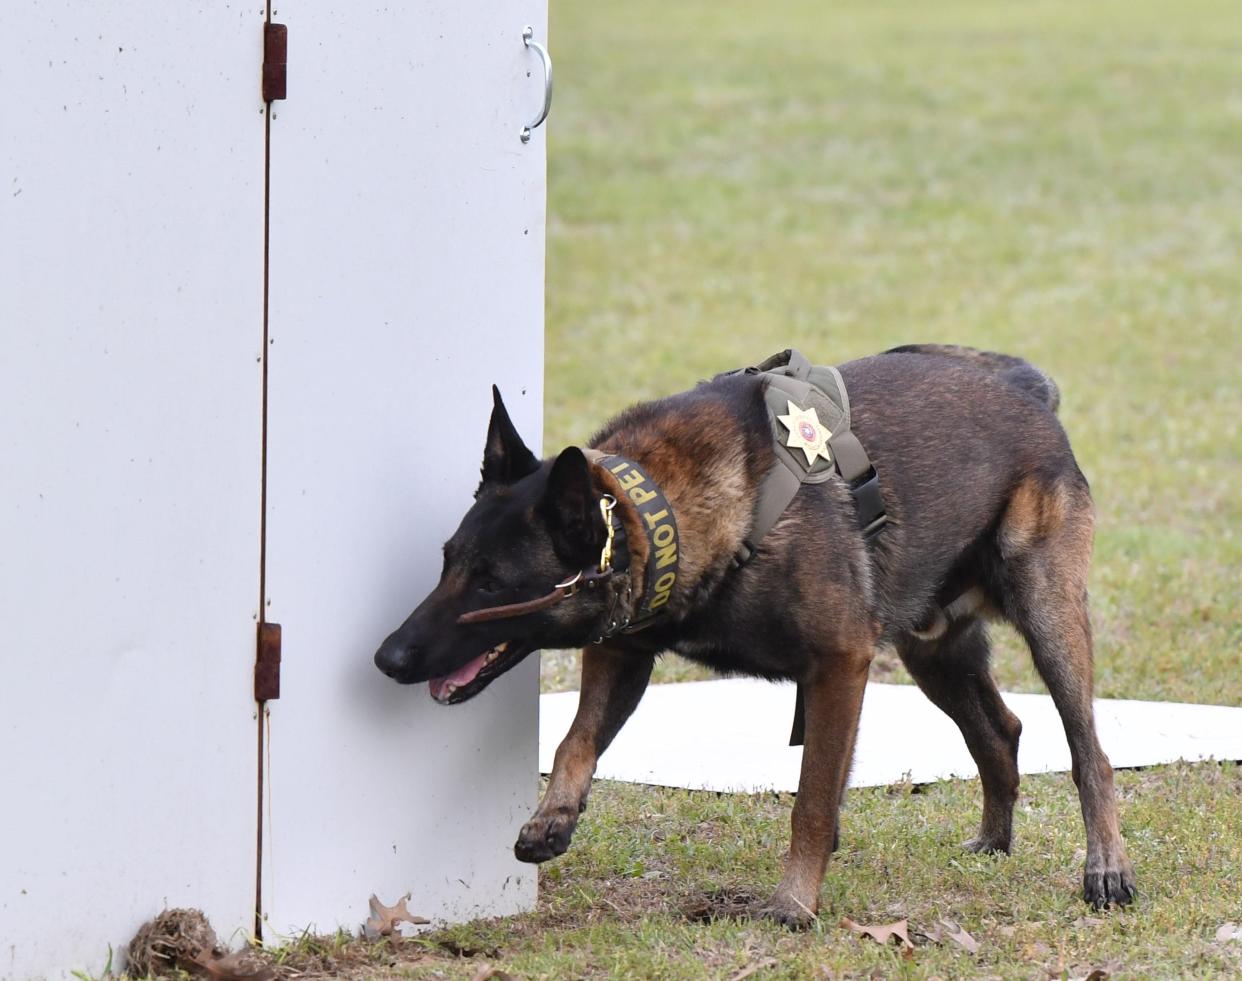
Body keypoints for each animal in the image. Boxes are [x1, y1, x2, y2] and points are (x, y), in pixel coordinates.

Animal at [375, 347, 1137, 928]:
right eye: (448, 562)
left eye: (492, 584)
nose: (387, 657)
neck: (668, 510)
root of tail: (1025, 385)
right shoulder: (621, 650)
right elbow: (575, 739)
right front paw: (553, 817)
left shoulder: (840, 667)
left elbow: (812, 802)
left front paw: (795, 904)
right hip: (933, 651)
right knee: (1000, 731)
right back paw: (994, 841)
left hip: (1049, 620)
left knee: (1088, 751)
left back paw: (1105, 868)